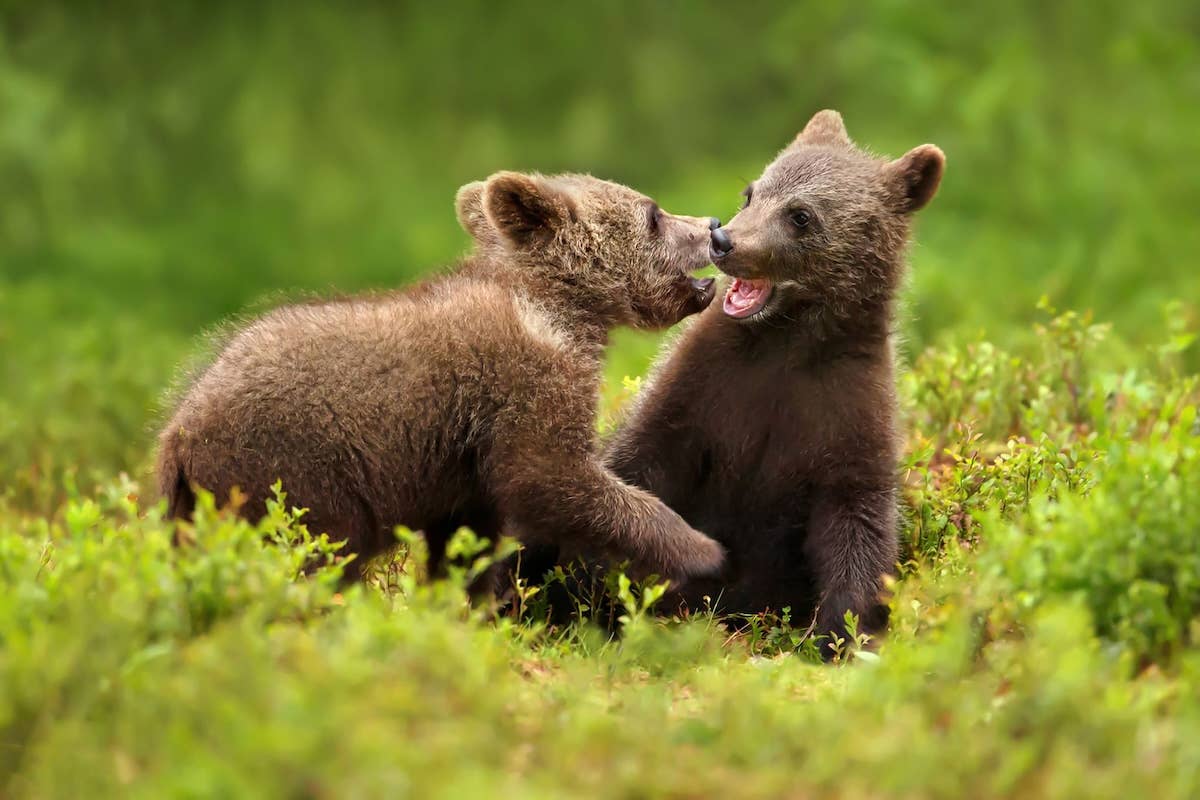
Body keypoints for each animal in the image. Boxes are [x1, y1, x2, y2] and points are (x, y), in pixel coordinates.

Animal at [156, 170, 727, 583]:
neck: (562, 311)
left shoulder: (461, 460)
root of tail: (177, 435)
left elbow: (465, 539)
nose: (711, 223)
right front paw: (701, 548)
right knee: (313, 550)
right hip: (292, 470)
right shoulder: (521, 385)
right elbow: (550, 475)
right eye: (653, 214)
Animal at [601, 111, 946, 656]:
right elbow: (642, 461)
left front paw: (838, 629)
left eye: (801, 215)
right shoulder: (704, 387)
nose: (723, 240)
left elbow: (859, 518)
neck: (787, 342)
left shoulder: (846, 407)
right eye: (751, 193)